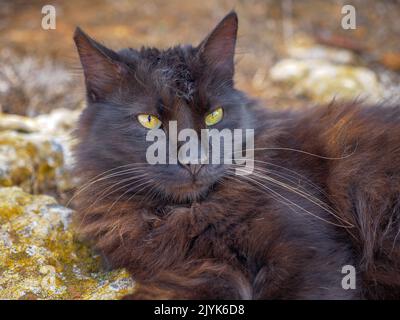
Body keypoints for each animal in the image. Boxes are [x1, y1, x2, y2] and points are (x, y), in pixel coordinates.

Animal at [72, 10, 400, 300]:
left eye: (214, 115)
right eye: (149, 121)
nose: (194, 159)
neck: (190, 214)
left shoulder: (311, 254)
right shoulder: (196, 271)